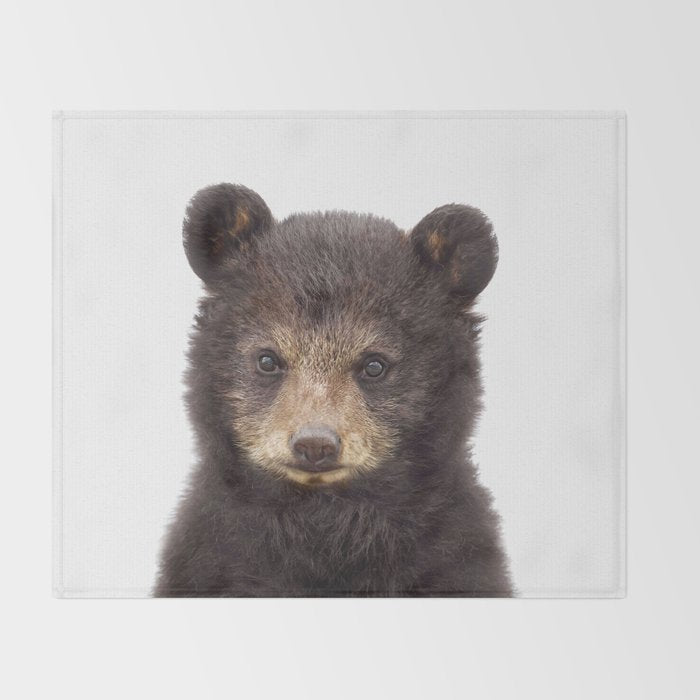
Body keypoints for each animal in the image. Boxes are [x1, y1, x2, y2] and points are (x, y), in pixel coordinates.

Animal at [154, 183, 513, 597]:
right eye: (267, 360)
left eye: (374, 364)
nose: (315, 444)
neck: (325, 523)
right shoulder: (212, 559)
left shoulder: (454, 559)